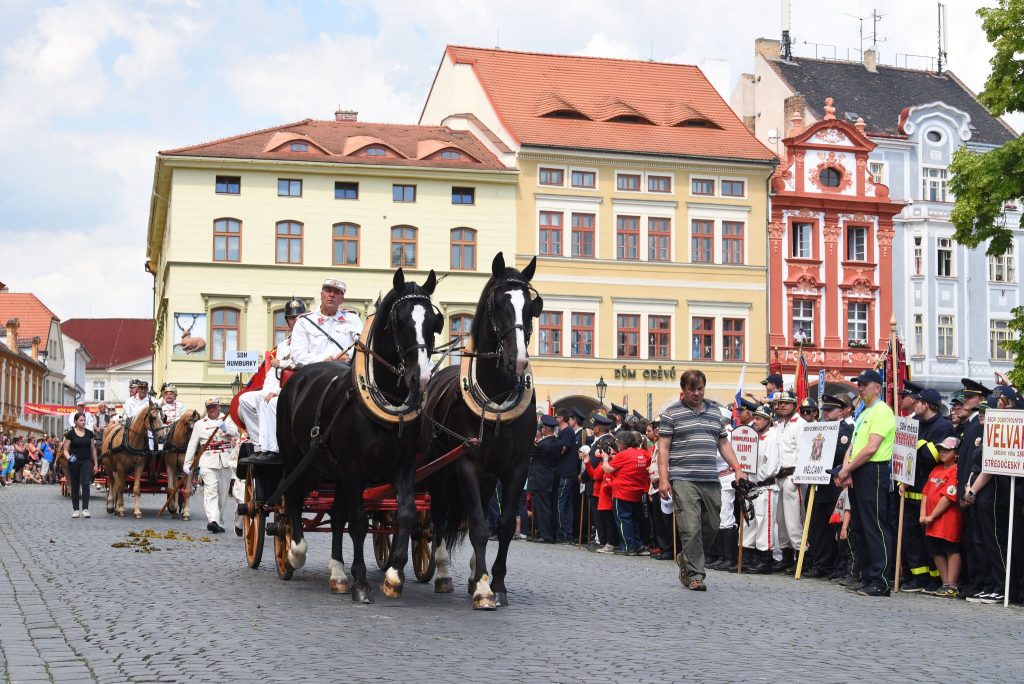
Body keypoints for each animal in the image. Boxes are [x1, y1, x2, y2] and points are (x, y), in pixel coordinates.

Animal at [276, 266, 444, 602]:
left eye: (434, 323)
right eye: (400, 320)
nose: (421, 377)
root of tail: (299, 376)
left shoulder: (403, 466)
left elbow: (404, 514)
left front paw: (392, 576)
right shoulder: (353, 466)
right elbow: (357, 521)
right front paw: (362, 583)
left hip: (332, 471)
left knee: (335, 513)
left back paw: (337, 573)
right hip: (296, 458)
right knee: (292, 499)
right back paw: (294, 552)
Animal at [419, 252, 544, 610]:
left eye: (531, 306)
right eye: (498, 303)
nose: (518, 361)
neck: (497, 398)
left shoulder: (517, 467)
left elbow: (502, 525)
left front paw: (494, 582)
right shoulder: (465, 463)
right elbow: (475, 523)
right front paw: (484, 591)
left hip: (487, 477)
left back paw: (476, 572)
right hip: (437, 469)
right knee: (439, 515)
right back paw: (444, 573)